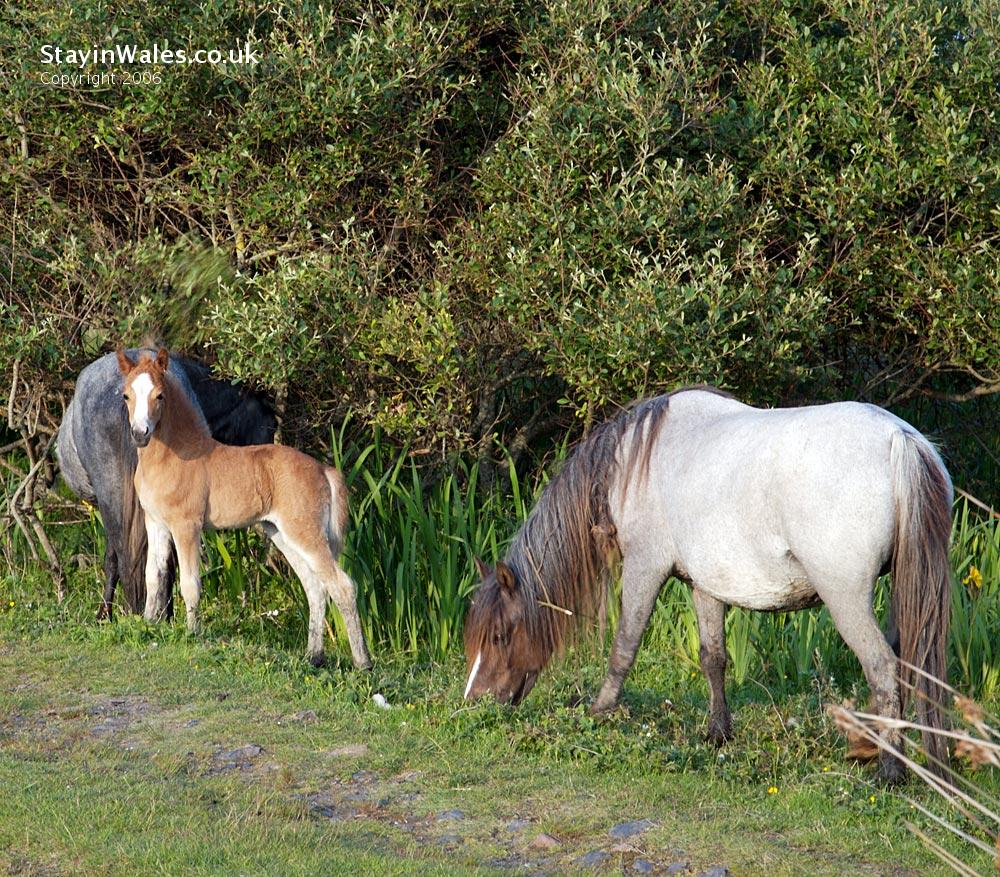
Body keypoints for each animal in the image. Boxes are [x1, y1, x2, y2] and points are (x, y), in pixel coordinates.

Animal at [117, 348, 372, 670]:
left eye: (159, 395)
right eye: (126, 395)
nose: (140, 433)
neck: (176, 456)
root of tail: (323, 470)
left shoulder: (187, 526)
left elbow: (190, 583)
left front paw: (193, 634)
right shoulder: (156, 523)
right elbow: (154, 575)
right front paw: (150, 624)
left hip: (306, 534)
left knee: (343, 585)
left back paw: (363, 662)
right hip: (281, 535)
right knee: (315, 587)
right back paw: (313, 656)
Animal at [463, 387, 953, 782]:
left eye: (500, 635)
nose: (474, 702)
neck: (633, 462)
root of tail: (899, 439)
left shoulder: (644, 567)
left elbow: (625, 647)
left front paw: (599, 712)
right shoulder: (706, 586)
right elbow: (712, 658)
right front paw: (718, 733)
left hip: (845, 598)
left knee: (882, 667)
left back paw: (889, 770)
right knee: (904, 660)